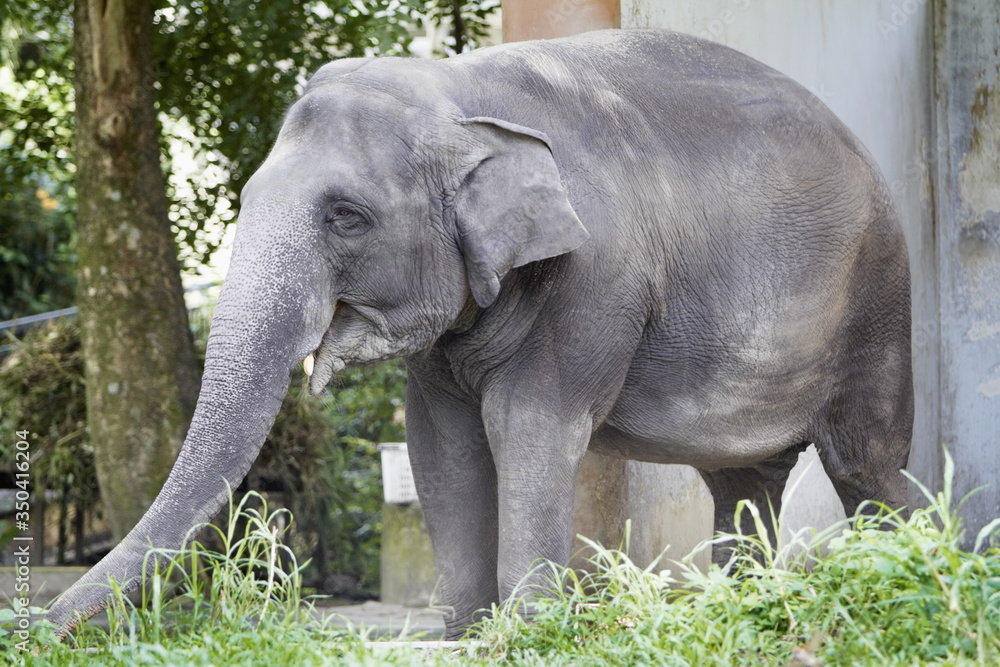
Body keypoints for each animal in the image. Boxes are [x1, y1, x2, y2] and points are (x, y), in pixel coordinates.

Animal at [48, 28, 913, 640]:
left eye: (347, 216)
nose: (33, 630)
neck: (457, 87)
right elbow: (444, 444)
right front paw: (466, 631)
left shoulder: (596, 276)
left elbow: (524, 425)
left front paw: (529, 628)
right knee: (742, 486)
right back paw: (739, 604)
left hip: (876, 307)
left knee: (864, 461)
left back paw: (901, 574)